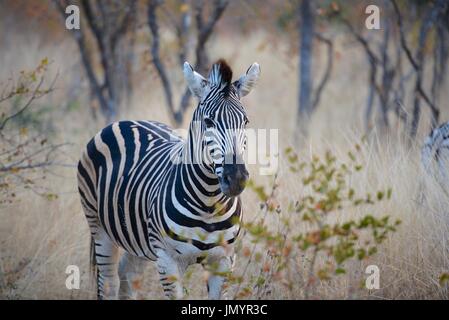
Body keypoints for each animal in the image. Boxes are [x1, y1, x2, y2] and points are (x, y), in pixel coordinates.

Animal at [76, 58, 260, 298]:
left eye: (245, 122)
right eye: (208, 122)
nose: (236, 178)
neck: (209, 203)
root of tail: (124, 121)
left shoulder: (224, 260)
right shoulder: (167, 260)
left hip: (138, 240)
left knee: (127, 274)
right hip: (99, 228)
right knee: (107, 283)